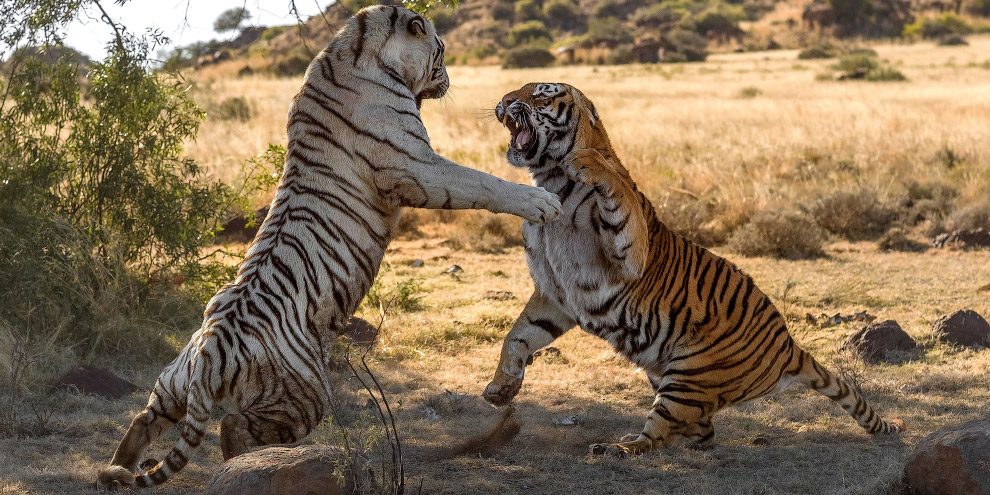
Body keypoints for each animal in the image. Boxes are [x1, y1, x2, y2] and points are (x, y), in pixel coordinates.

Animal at [96, 8, 561, 489]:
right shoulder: (419, 167)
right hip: (304, 396)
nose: (448, 78)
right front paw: (542, 203)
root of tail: (210, 353)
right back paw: (248, 463)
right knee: (233, 426)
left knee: (144, 421)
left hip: (172, 383)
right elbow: (481, 182)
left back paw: (113, 473)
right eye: (442, 49)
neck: (353, 49)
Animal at [482, 82, 902, 457]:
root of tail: (788, 347)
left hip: (688, 377)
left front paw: (586, 162)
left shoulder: (628, 251)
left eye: (541, 94)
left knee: (659, 435)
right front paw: (500, 389)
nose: (503, 100)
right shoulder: (555, 293)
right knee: (701, 432)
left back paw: (616, 447)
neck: (548, 179)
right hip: (666, 375)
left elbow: (615, 186)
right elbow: (518, 336)